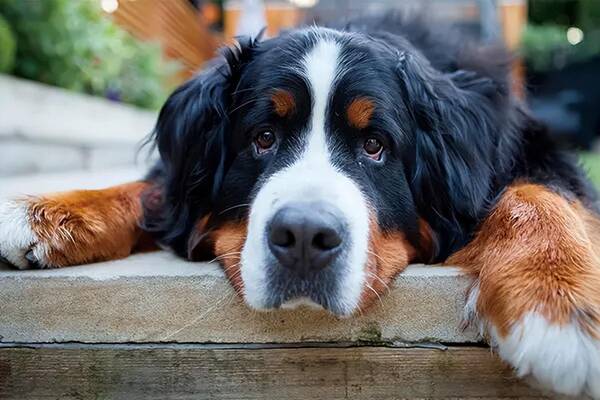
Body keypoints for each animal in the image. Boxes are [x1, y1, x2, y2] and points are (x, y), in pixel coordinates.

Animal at [1, 13, 600, 400]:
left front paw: (557, 305)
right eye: (263, 137)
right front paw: (47, 211)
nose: (306, 237)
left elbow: (536, 194)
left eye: (374, 145)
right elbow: (151, 190)